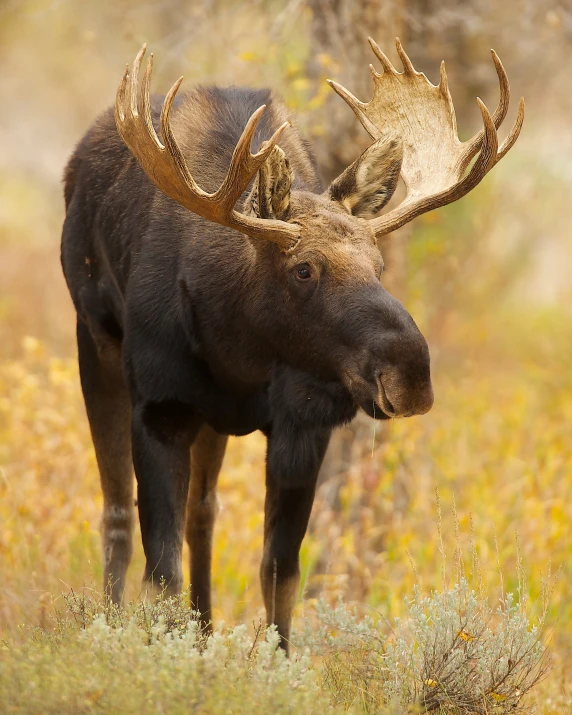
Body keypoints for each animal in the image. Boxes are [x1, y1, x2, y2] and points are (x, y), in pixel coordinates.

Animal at [61, 40, 524, 656]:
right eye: (303, 268)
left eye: (378, 265)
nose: (410, 374)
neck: (238, 353)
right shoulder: (161, 409)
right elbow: (160, 571)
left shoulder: (306, 424)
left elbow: (279, 572)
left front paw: (271, 661)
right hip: (95, 342)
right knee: (115, 510)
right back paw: (113, 624)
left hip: (209, 424)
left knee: (203, 516)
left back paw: (205, 632)